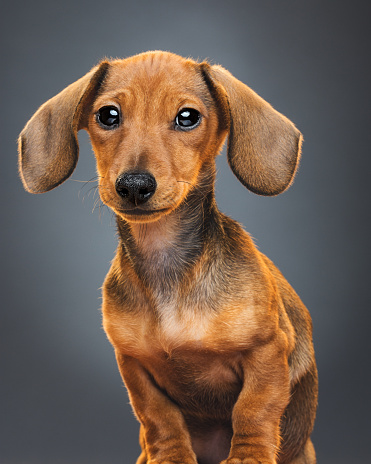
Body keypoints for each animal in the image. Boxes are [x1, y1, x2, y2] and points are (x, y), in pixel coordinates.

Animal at [18, 50, 318, 464]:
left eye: (187, 117)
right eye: (107, 115)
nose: (134, 185)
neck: (167, 263)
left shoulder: (268, 350)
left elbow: (254, 409)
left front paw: (249, 455)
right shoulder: (133, 364)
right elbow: (158, 417)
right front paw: (170, 456)